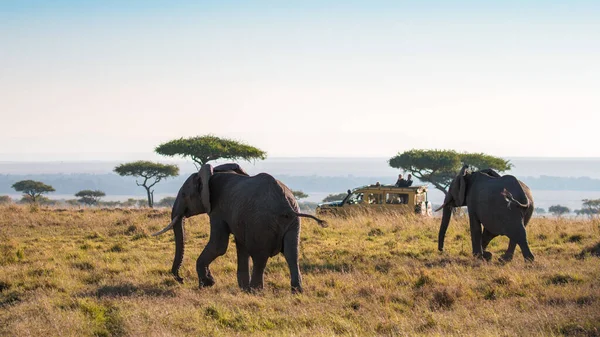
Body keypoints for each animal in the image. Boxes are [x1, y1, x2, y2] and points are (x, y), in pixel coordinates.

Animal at [152, 162, 326, 292]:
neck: (211, 174)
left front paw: (207, 284)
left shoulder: (217, 210)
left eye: (183, 195)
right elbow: (239, 245)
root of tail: (286, 205)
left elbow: (219, 246)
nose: (181, 279)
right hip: (292, 222)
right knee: (291, 253)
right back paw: (295, 291)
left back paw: (256, 291)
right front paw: (239, 287)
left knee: (259, 255)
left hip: (261, 222)